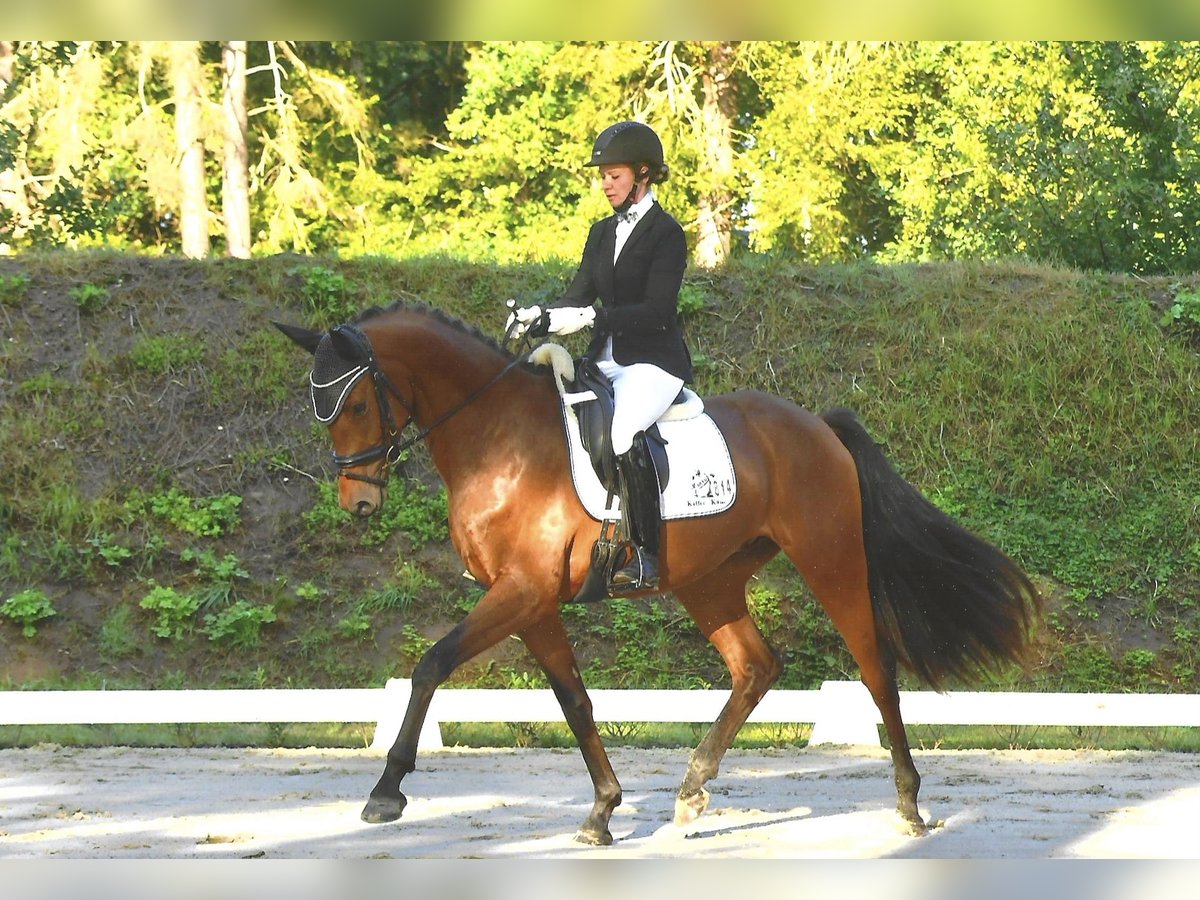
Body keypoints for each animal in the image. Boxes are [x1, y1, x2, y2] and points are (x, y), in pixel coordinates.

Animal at [274, 303, 1041, 844]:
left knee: (876, 668)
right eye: (321, 409)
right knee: (756, 666)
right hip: (708, 579)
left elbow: (432, 664)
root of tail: (816, 423)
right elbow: (574, 701)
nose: (359, 503)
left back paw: (909, 804)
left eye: (357, 403)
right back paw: (692, 792)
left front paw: (387, 790)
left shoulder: (519, 592)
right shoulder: (532, 601)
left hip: (830, 557)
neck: (499, 442)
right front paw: (603, 811)